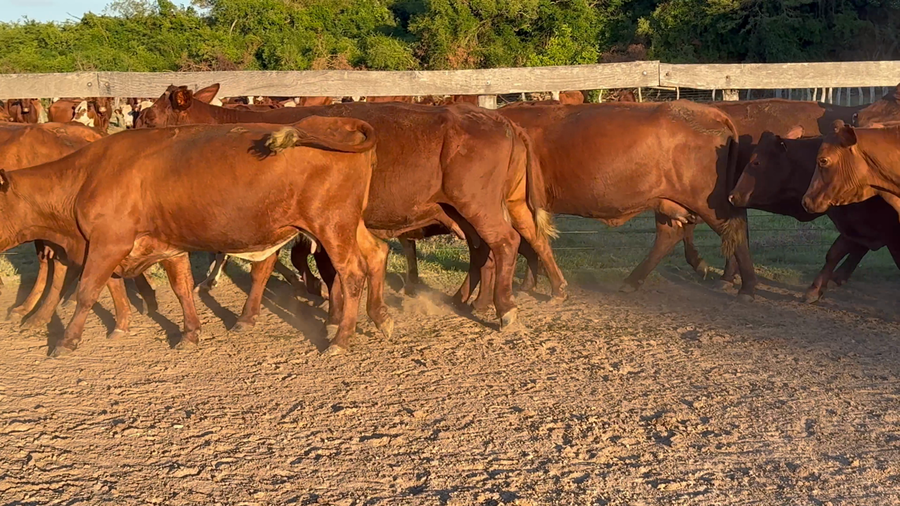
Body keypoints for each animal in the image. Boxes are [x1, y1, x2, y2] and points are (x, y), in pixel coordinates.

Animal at [136, 84, 566, 329]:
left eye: (149, 117)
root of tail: (502, 121)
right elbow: (295, 265)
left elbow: (284, 265)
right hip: (491, 206)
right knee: (504, 246)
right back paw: (490, 297)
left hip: (478, 205)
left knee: (505, 244)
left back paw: (505, 307)